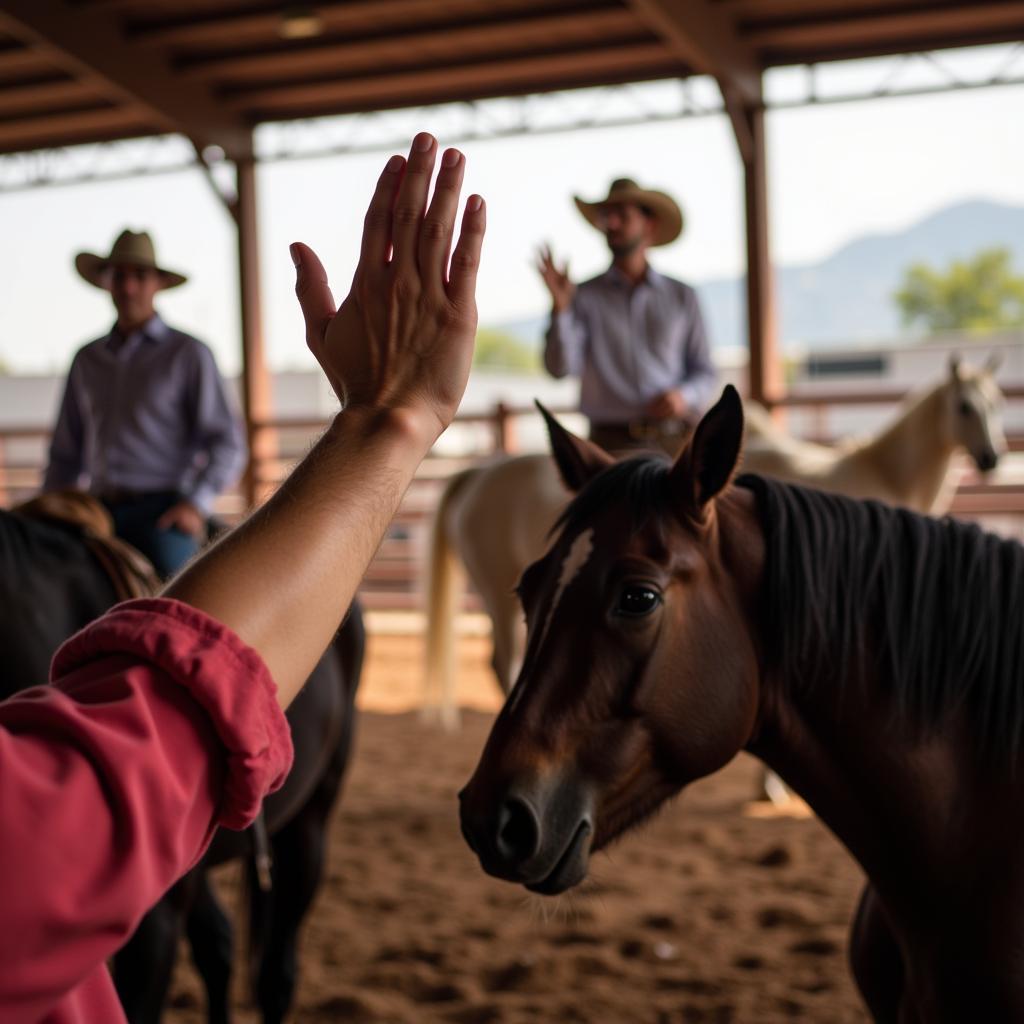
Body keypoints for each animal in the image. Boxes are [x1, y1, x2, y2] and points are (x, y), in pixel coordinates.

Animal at [421, 360, 1007, 729]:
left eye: (997, 402)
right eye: (964, 406)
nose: (993, 458)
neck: (876, 477)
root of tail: (476, 474)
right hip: (499, 594)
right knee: (504, 661)